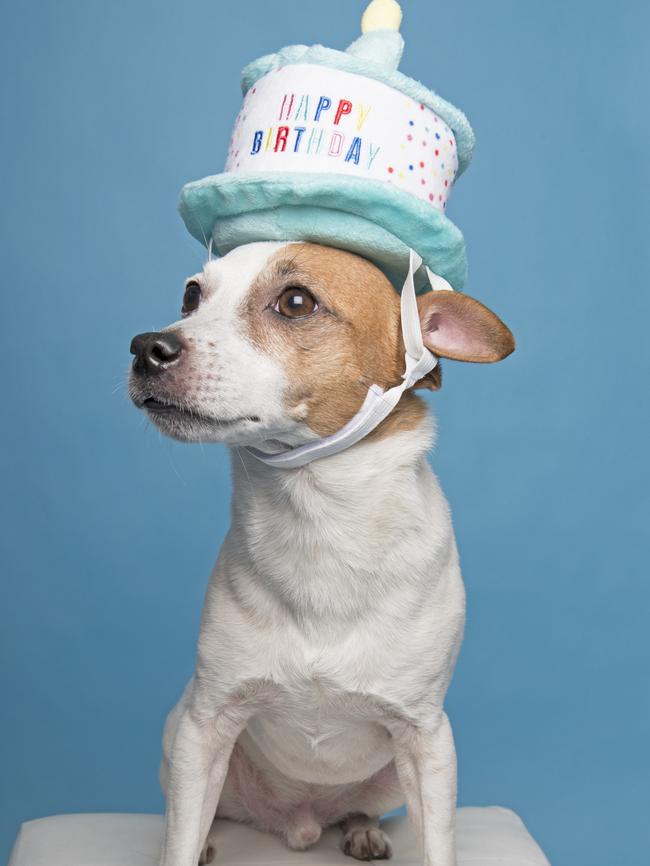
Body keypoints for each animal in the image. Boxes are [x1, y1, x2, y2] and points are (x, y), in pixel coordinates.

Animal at [126, 241, 512, 864]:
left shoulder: (427, 740)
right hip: (178, 737)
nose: (145, 347)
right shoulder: (205, 725)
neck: (318, 520)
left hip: (393, 773)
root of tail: (299, 821)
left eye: (296, 302)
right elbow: (179, 841)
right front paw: (187, 846)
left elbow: (439, 846)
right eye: (190, 296)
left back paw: (361, 829)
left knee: (360, 806)